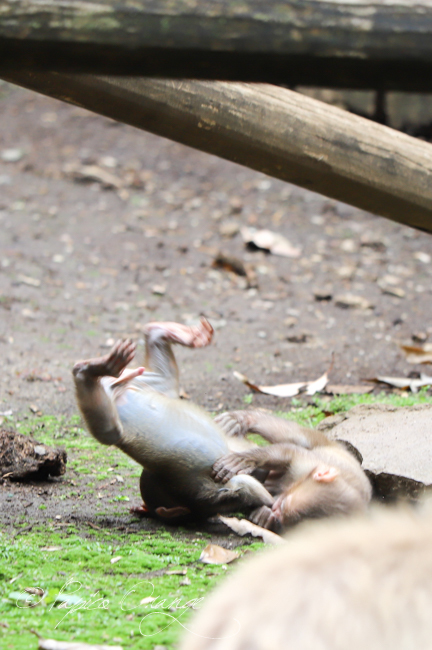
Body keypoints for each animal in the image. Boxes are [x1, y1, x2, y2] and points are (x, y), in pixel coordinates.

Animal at [213, 410, 372, 528]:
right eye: (283, 506)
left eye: (289, 519)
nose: (275, 511)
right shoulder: (307, 464)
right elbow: (288, 452)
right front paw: (246, 460)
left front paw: (267, 514)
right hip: (323, 443)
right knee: (296, 436)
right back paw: (245, 419)